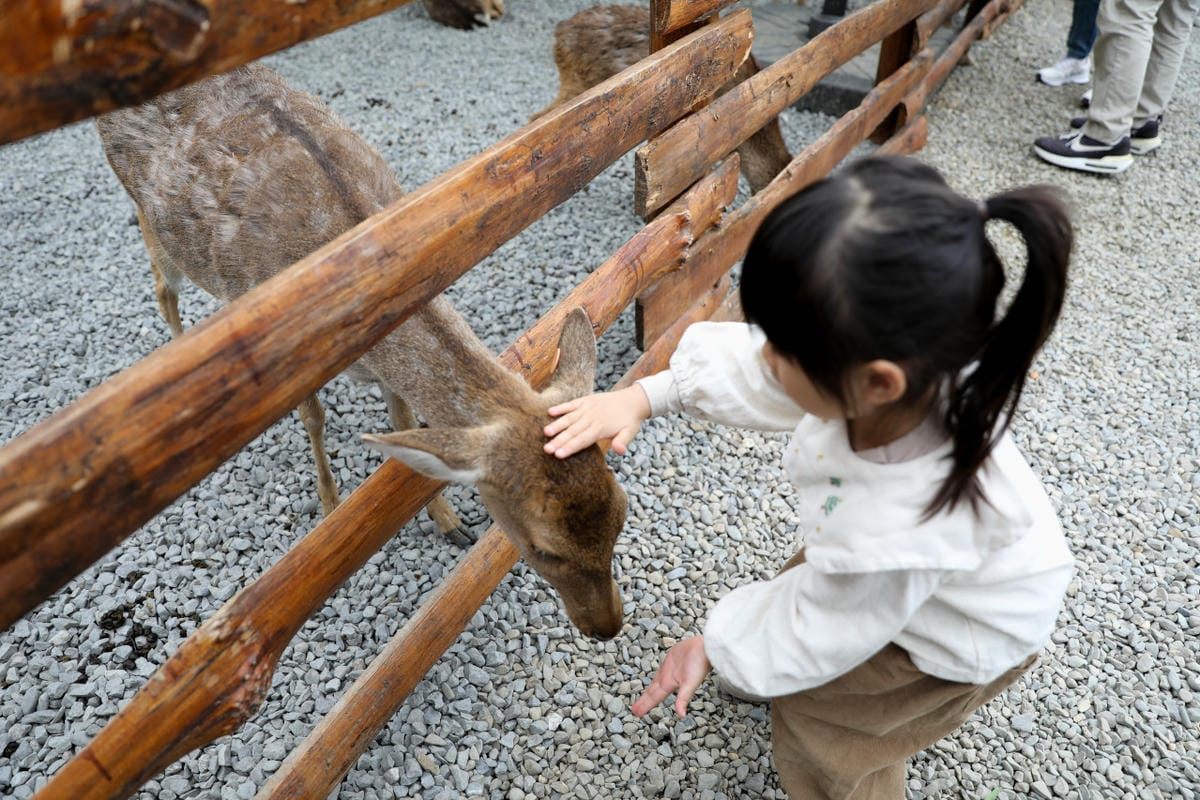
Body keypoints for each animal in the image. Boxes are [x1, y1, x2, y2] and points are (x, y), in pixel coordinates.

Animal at [95, 63, 628, 639]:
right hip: (145, 215)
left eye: (622, 511)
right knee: (162, 289)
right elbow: (314, 419)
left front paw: (448, 520)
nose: (607, 626)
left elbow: (405, 425)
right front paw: (331, 509)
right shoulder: (293, 358)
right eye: (544, 548)